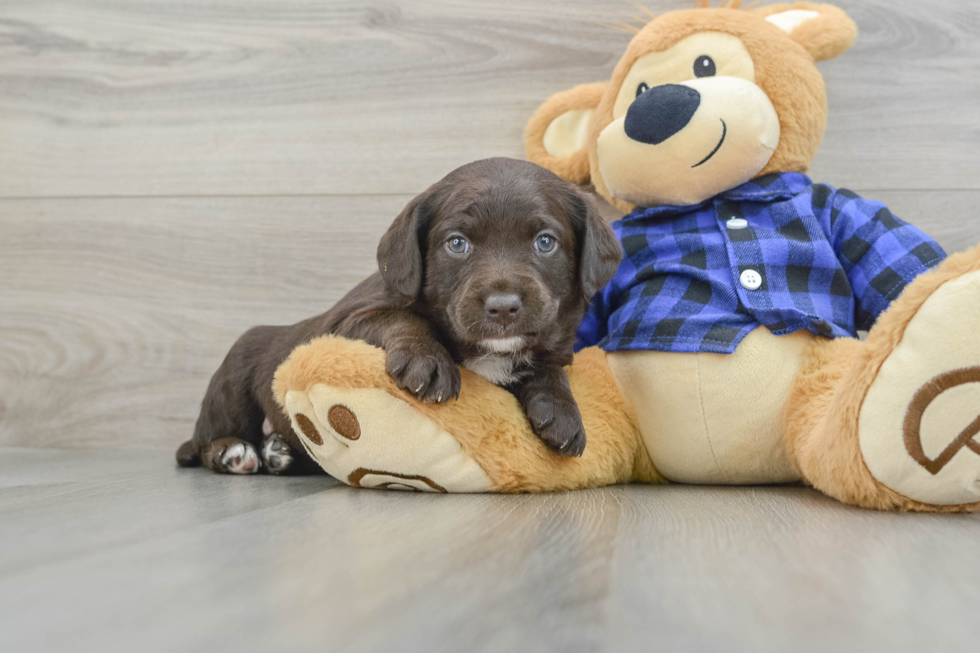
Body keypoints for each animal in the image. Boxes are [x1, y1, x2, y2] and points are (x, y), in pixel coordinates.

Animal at [176, 158, 620, 474]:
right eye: (456, 244)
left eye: (545, 242)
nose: (503, 306)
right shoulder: (348, 320)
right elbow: (405, 320)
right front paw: (430, 361)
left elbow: (550, 367)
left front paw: (562, 411)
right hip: (232, 384)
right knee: (203, 443)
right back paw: (234, 452)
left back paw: (276, 451)